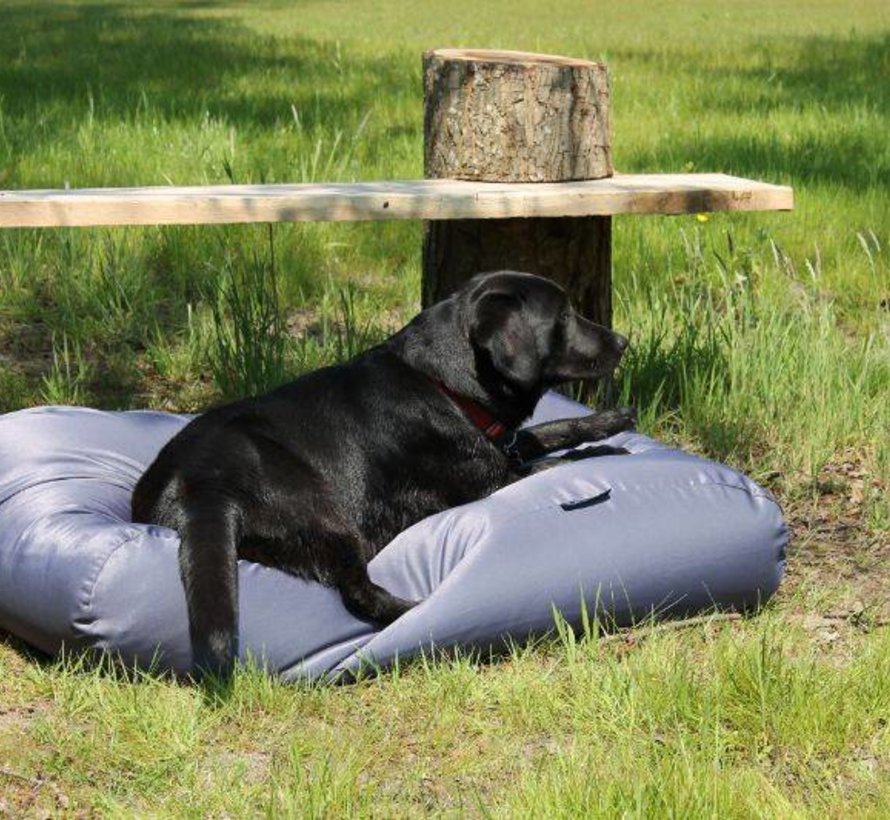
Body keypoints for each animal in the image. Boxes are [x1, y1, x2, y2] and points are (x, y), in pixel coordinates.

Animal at [130, 270, 632, 680]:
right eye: (564, 315)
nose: (623, 341)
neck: (442, 382)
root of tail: (199, 486)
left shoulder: (500, 445)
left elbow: (545, 430)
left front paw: (610, 421)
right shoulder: (494, 480)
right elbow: (558, 462)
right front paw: (604, 449)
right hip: (323, 513)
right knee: (358, 594)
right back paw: (422, 612)